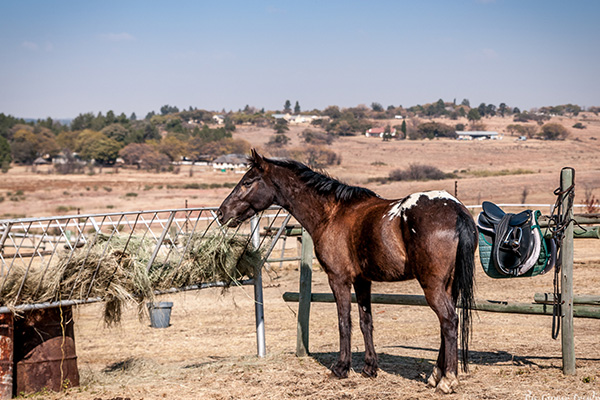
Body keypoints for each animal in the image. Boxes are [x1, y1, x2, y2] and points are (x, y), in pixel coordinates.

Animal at [218, 150, 476, 394]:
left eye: (247, 182)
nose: (221, 213)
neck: (332, 213)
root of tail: (456, 210)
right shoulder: (363, 281)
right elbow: (365, 321)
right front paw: (370, 368)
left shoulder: (339, 279)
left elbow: (344, 322)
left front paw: (341, 368)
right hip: (448, 286)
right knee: (447, 323)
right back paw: (436, 376)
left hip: (432, 286)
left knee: (449, 321)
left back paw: (447, 380)